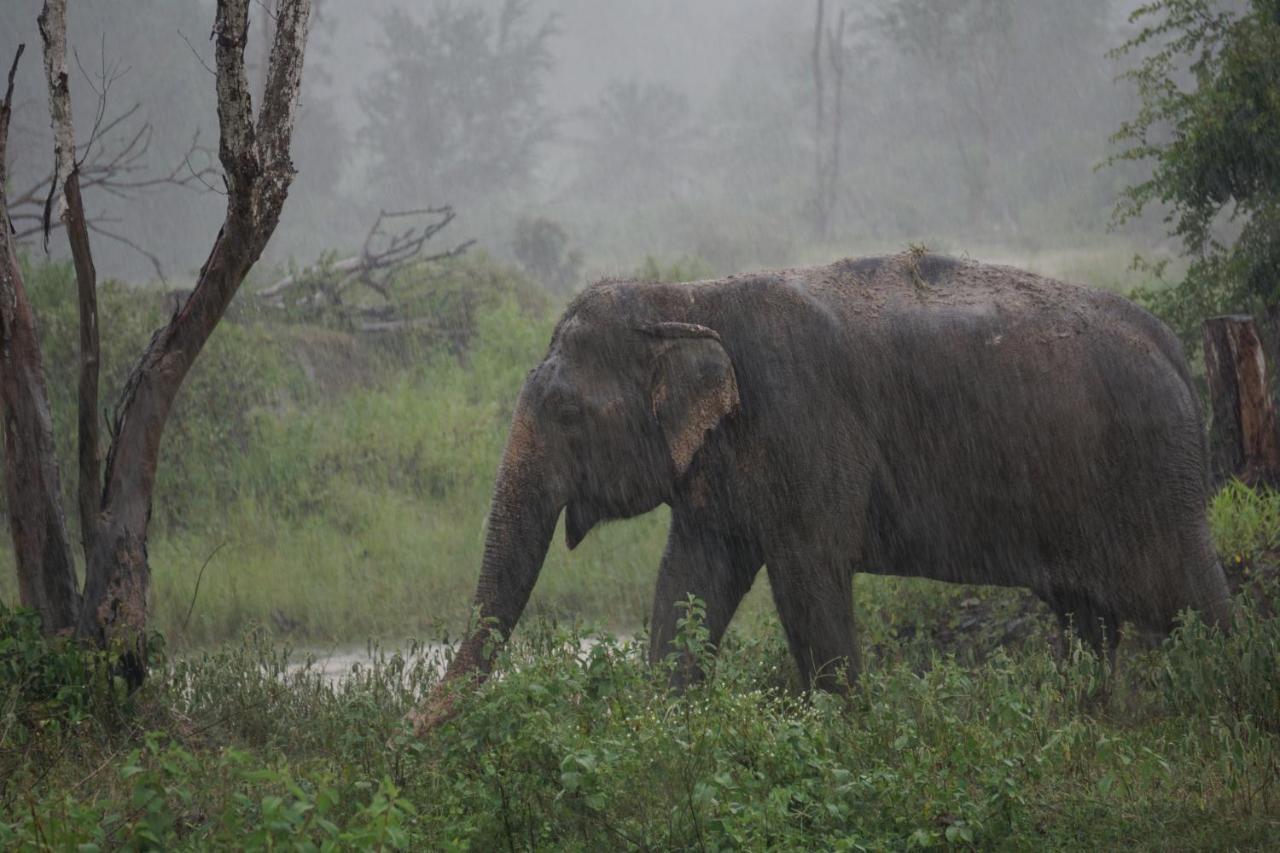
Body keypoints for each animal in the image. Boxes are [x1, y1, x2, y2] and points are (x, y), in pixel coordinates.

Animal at [409, 247, 1228, 722]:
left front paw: (844, 730)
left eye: (570, 413)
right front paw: (662, 729)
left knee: (1191, 602)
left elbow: (807, 580)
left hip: (1155, 481)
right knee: (1086, 619)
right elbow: (689, 583)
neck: (686, 300)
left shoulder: (805, 428)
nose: (416, 728)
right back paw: (1086, 715)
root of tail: (1178, 351)